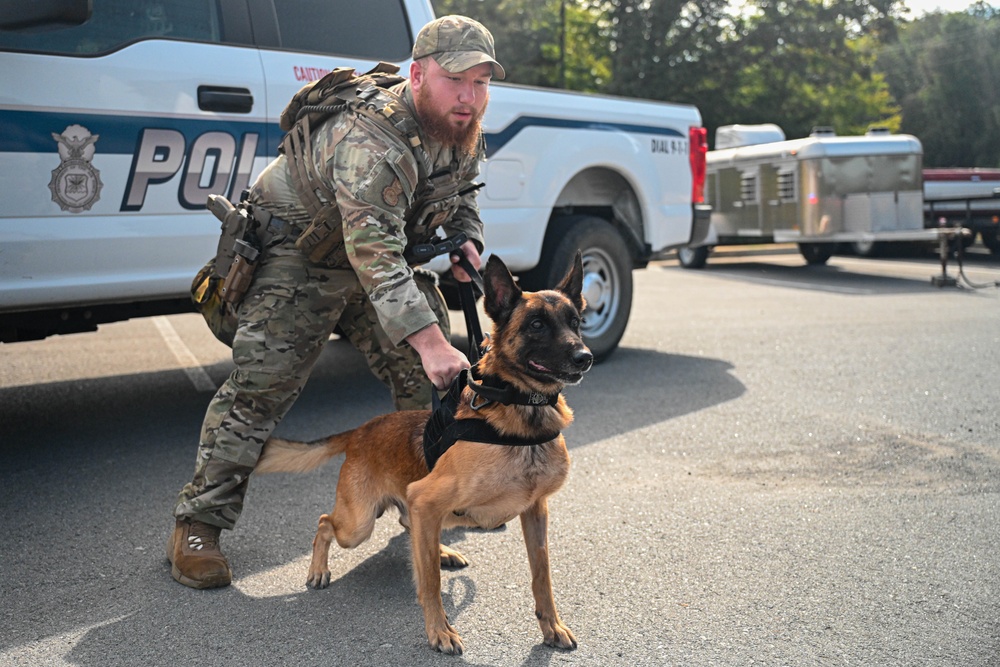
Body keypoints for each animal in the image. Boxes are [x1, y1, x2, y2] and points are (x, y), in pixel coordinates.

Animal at [254, 253, 592, 656]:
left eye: (575, 322)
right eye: (537, 325)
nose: (585, 357)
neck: (522, 413)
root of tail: (362, 430)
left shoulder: (535, 512)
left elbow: (542, 576)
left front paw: (551, 624)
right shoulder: (425, 497)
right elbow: (429, 581)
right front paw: (439, 630)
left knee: (409, 525)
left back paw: (440, 549)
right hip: (359, 524)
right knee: (325, 522)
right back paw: (319, 569)